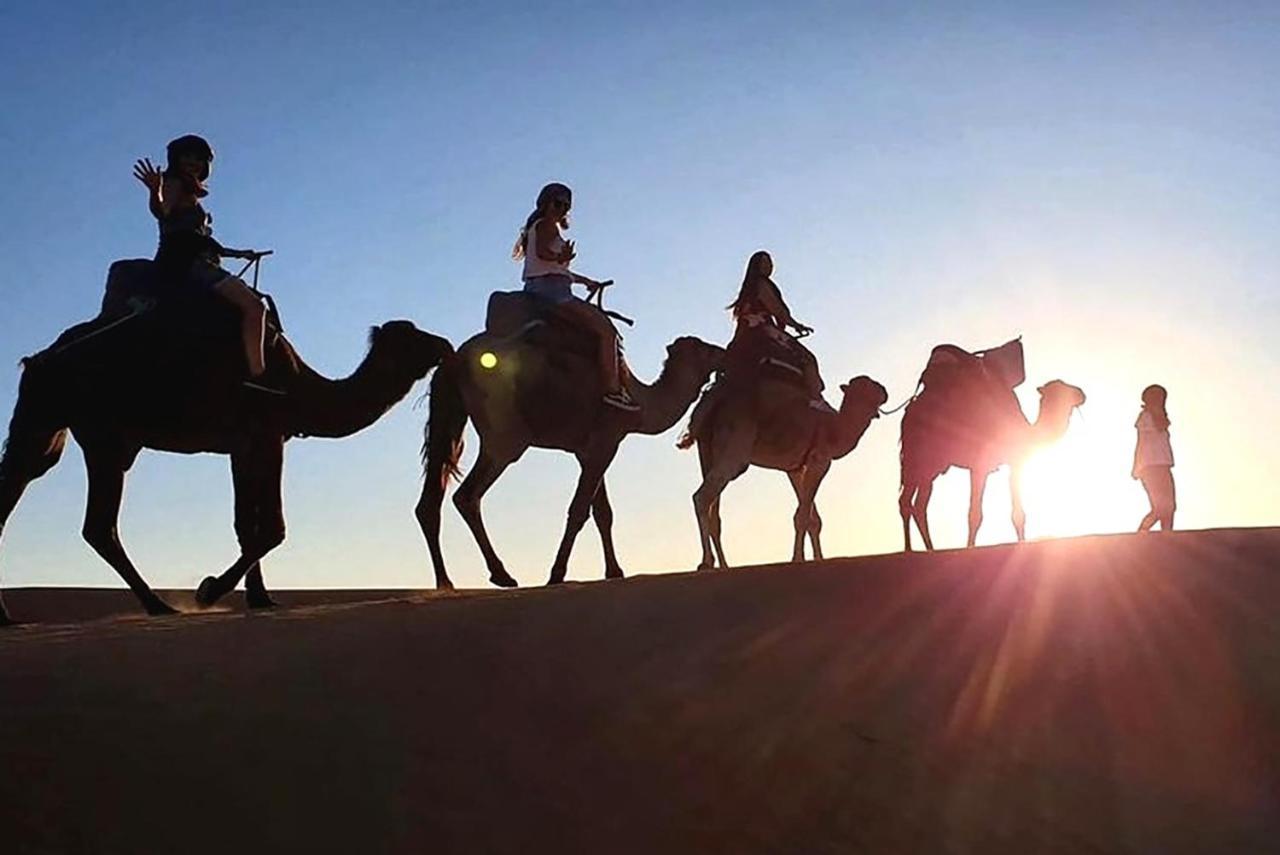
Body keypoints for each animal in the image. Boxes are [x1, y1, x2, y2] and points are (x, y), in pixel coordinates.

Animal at [0, 296, 450, 624]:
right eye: (412, 337)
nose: (444, 345)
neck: (299, 388)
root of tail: (38, 359)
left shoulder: (242, 445)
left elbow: (245, 525)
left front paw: (260, 598)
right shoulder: (269, 434)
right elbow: (273, 527)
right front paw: (209, 590)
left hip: (46, 426)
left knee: (27, 479)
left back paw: (9, 617)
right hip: (105, 435)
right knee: (98, 525)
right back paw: (159, 605)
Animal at [417, 327, 727, 588]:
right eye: (705, 349)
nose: (724, 353)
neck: (640, 403)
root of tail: (454, 362)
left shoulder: (586, 450)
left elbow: (603, 513)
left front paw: (614, 571)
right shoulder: (606, 440)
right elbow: (579, 510)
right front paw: (557, 574)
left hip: (456, 419)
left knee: (431, 499)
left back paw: (447, 581)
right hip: (505, 435)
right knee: (467, 496)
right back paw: (501, 574)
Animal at [896, 376, 1085, 555]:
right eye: (1060, 389)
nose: (1082, 394)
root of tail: (908, 414)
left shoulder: (1015, 463)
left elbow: (1018, 514)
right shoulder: (979, 466)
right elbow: (975, 514)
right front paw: (970, 548)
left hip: (931, 466)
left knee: (918, 504)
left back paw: (928, 549)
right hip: (917, 458)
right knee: (907, 501)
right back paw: (909, 549)